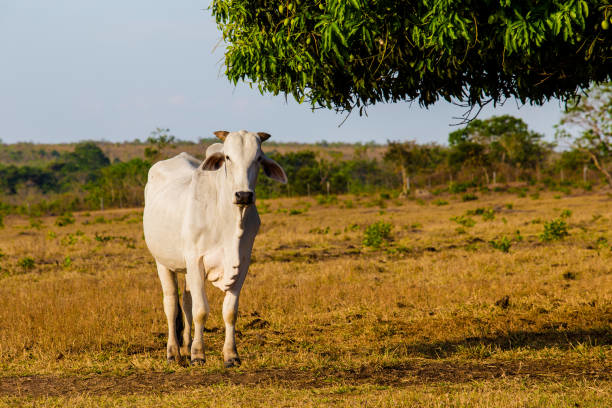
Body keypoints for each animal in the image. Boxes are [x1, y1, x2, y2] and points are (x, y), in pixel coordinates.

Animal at [143, 131, 286, 366]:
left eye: (258, 158)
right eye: (227, 157)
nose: (244, 195)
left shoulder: (242, 263)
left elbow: (229, 311)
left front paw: (231, 355)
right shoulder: (195, 260)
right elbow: (201, 310)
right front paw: (198, 354)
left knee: (186, 301)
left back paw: (185, 345)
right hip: (162, 261)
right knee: (171, 304)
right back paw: (173, 352)